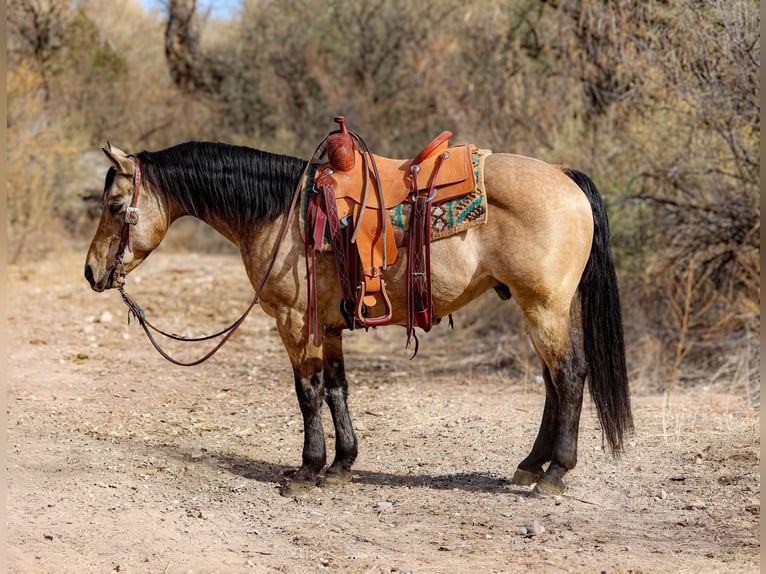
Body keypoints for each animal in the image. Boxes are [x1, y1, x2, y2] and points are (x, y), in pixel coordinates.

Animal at [85, 134, 636, 496]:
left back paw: (555, 474)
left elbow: (307, 393)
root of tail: (564, 176)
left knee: (570, 375)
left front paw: (307, 471)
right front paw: (342, 465)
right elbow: (336, 389)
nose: (92, 272)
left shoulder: (294, 321)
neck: (278, 211)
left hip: (544, 307)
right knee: (552, 384)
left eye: (113, 205)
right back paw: (529, 465)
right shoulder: (328, 325)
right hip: (543, 308)